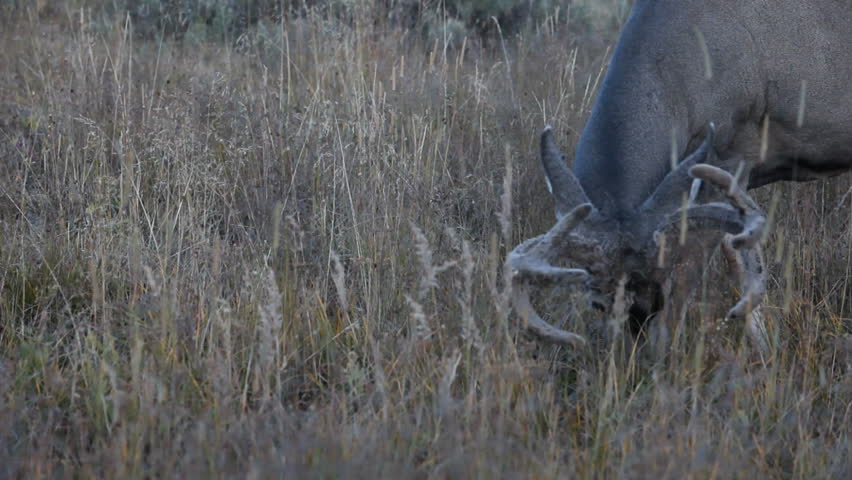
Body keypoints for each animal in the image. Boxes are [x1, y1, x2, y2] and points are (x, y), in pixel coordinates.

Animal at [508, 0, 852, 353]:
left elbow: (695, 268)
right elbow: (737, 253)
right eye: (597, 301)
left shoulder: (733, 151)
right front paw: (762, 346)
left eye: (658, 278)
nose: (638, 323)